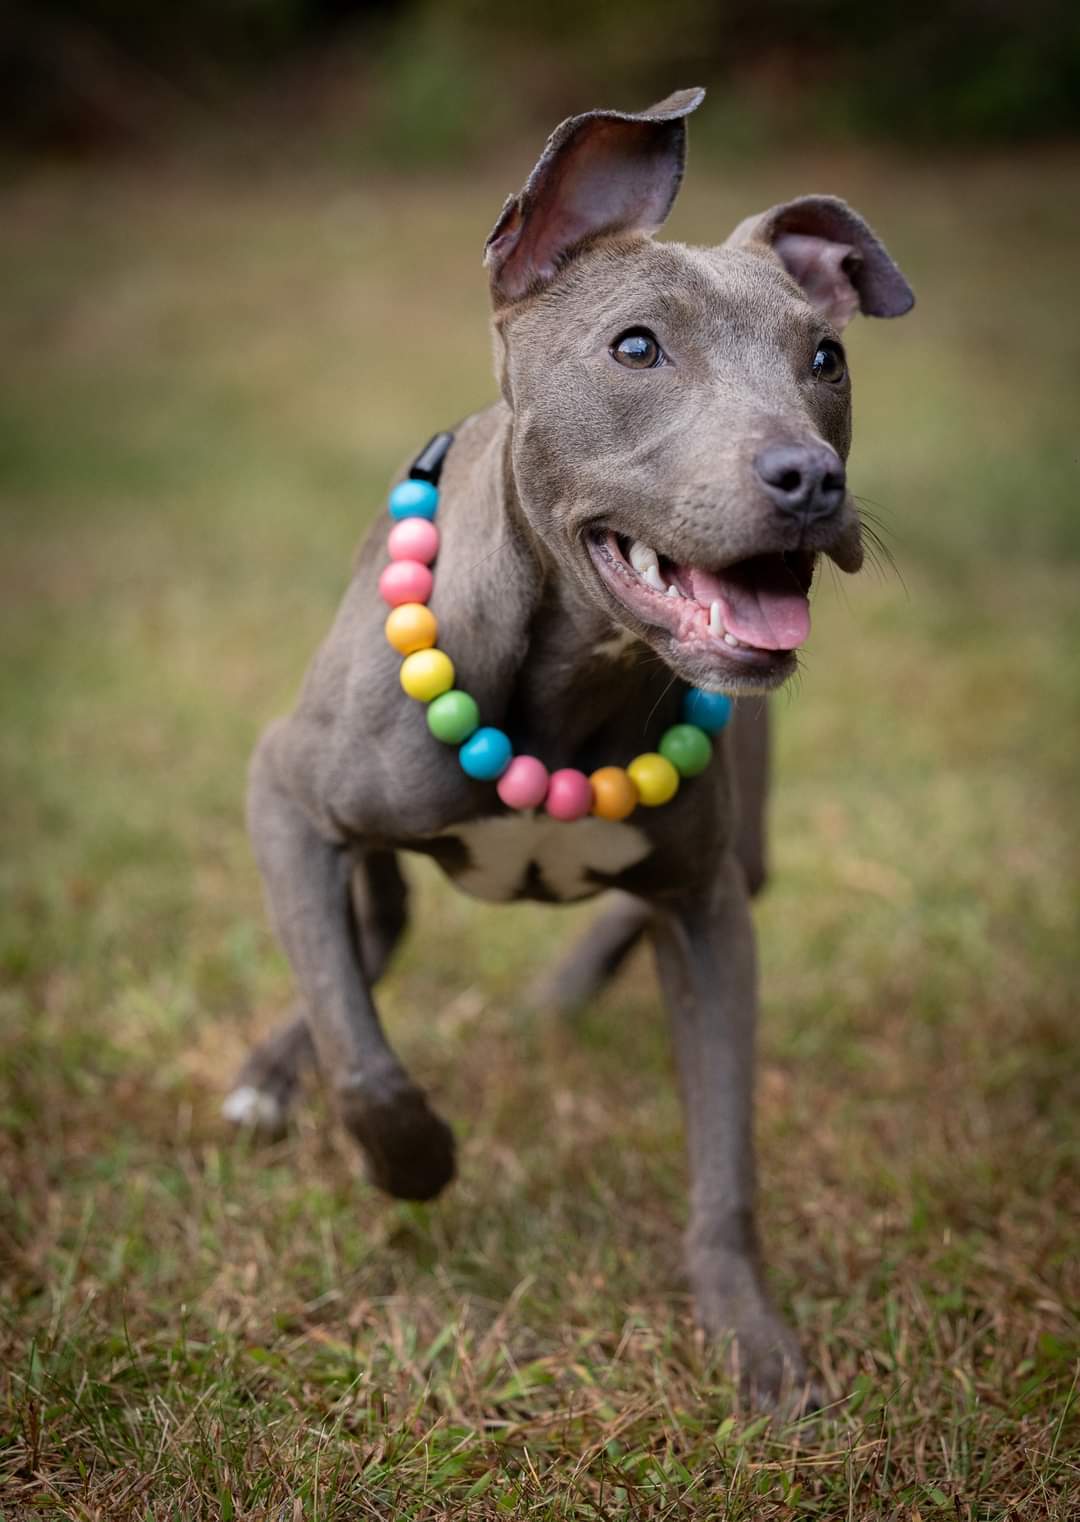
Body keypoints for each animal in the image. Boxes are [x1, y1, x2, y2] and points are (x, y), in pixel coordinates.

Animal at [226, 86, 912, 1400]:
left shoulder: (708, 910)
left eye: (827, 358)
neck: (577, 673)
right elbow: (362, 1056)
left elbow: (724, 1162)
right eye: (636, 348)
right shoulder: (283, 790)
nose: (810, 477)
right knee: (358, 944)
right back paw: (271, 1075)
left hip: (740, 848)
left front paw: (754, 1342)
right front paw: (415, 1162)